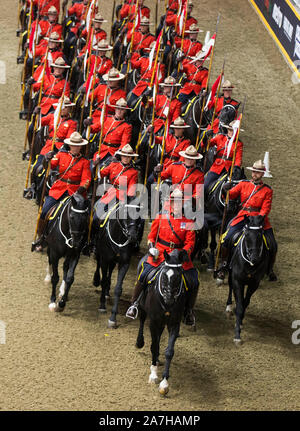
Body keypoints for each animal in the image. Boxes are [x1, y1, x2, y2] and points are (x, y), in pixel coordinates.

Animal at [92, 201, 142, 330]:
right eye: (126, 212)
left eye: (139, 214)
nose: (133, 236)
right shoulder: (105, 259)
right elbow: (103, 281)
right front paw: (102, 306)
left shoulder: (124, 264)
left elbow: (118, 289)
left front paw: (113, 318)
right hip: (100, 254)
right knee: (99, 265)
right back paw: (96, 280)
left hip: (114, 261)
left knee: (110, 272)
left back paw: (107, 293)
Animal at [135, 250, 188, 398]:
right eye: (164, 275)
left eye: (178, 276)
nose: (168, 299)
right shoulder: (153, 321)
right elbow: (154, 346)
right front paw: (153, 374)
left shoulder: (174, 324)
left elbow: (169, 351)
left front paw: (164, 383)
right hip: (143, 307)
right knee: (142, 320)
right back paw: (139, 342)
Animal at [225, 216, 272, 344]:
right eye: (246, 234)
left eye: (260, 234)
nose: (254, 258)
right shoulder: (237, 281)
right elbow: (240, 305)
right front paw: (237, 335)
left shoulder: (254, 284)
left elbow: (245, 303)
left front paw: (240, 322)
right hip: (230, 273)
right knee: (230, 287)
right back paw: (229, 307)